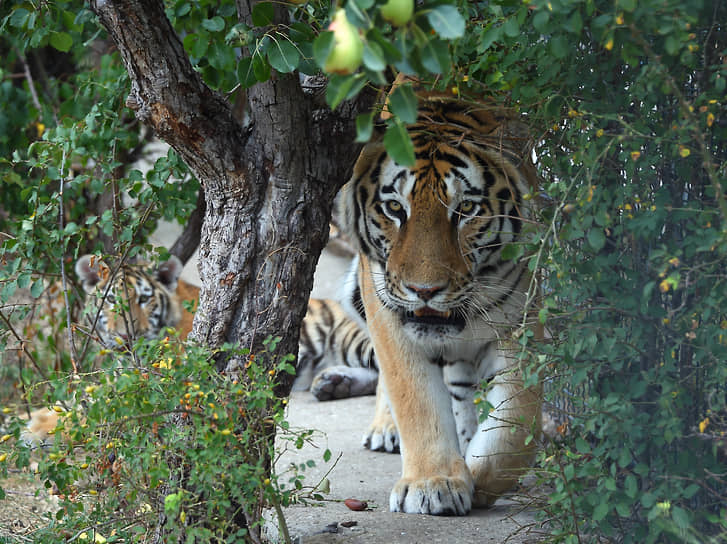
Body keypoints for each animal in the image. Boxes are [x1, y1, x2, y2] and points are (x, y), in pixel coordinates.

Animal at [328, 88, 543, 515]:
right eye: (395, 208)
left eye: (466, 210)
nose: (424, 290)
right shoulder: (389, 315)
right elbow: (415, 398)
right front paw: (434, 484)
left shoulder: (519, 320)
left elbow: (515, 420)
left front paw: (478, 477)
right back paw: (386, 429)